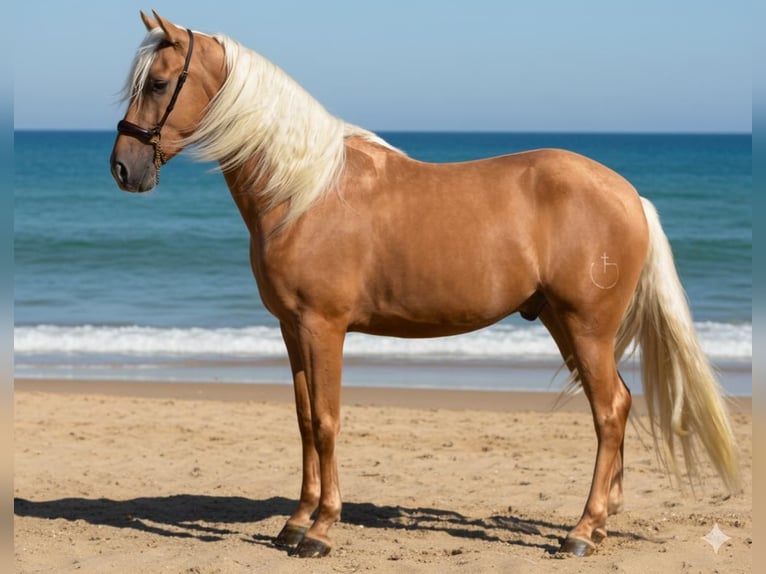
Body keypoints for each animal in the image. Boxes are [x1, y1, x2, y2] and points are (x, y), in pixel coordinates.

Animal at [110, 11, 740, 558]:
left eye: (159, 82)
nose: (123, 169)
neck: (304, 191)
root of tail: (629, 195)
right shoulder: (291, 329)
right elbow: (305, 421)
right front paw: (294, 523)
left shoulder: (323, 327)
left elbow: (328, 422)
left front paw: (321, 530)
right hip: (565, 325)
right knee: (618, 405)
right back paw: (602, 523)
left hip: (586, 327)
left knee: (610, 410)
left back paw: (581, 532)